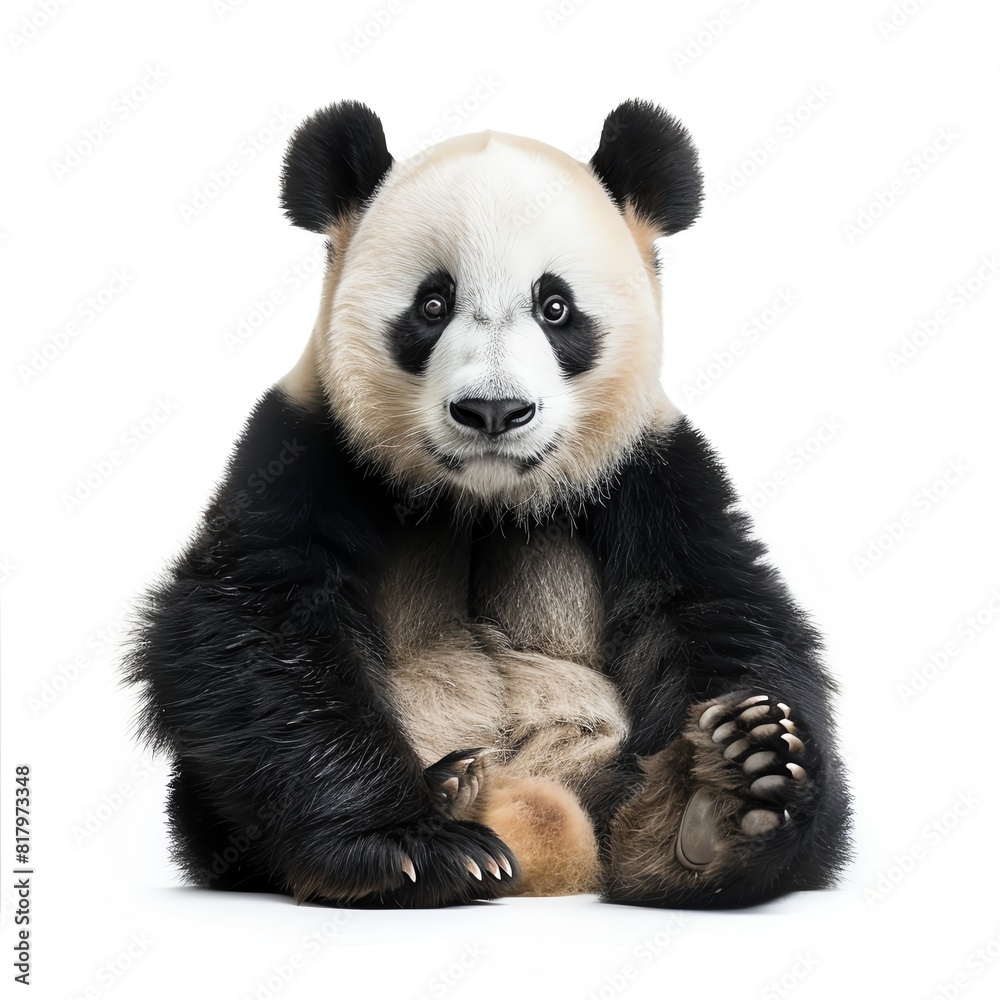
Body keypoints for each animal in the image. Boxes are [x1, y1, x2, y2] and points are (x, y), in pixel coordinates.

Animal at [128, 99, 850, 909]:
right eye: (432, 304)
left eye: (556, 306)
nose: (494, 410)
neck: (483, 496)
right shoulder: (305, 446)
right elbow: (259, 618)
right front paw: (410, 847)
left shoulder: (655, 468)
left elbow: (715, 609)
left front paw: (748, 768)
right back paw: (458, 796)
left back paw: (699, 817)